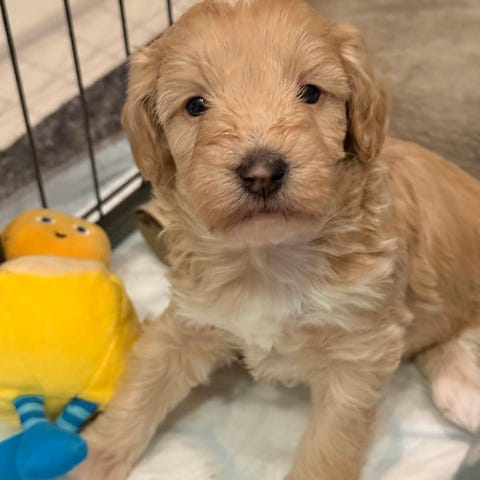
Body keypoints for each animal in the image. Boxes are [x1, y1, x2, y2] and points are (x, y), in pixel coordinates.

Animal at [71, 1, 480, 478]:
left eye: (311, 93)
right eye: (195, 105)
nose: (262, 172)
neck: (267, 255)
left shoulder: (358, 355)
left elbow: (327, 450)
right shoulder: (189, 321)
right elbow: (140, 391)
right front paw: (87, 460)